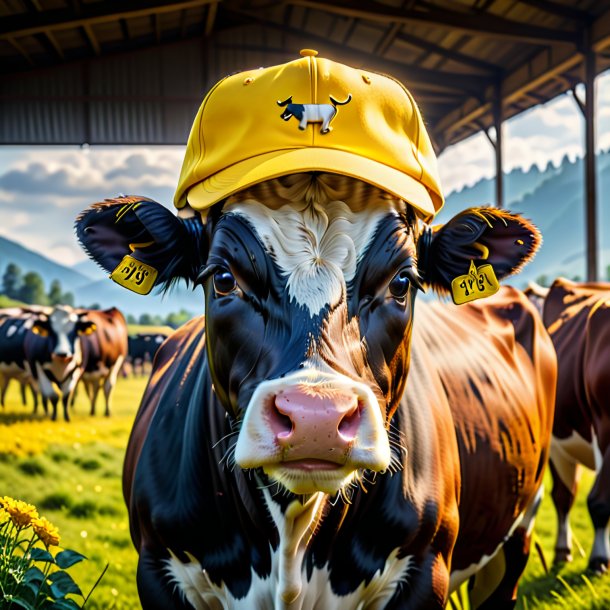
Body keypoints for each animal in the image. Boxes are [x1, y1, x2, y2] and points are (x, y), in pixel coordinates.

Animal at [73, 172, 552, 608]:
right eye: (224, 278)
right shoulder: (157, 566)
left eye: (401, 283)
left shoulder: (424, 566)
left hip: (521, 527)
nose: (315, 419)